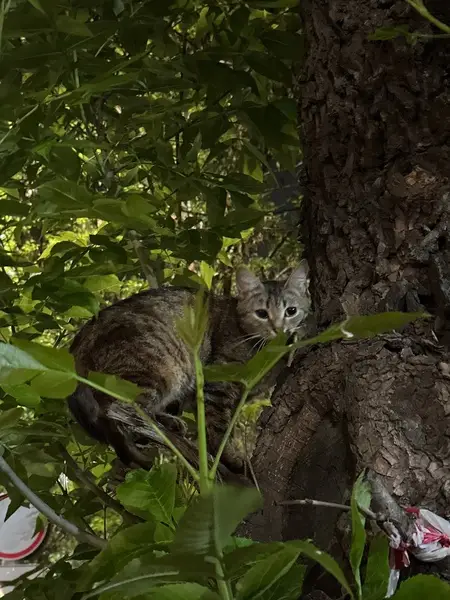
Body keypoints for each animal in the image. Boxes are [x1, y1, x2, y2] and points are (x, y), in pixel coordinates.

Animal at [67, 262, 311, 472]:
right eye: (261, 313)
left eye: (291, 311)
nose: (279, 329)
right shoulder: (219, 381)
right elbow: (217, 430)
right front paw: (230, 458)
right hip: (159, 370)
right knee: (120, 413)